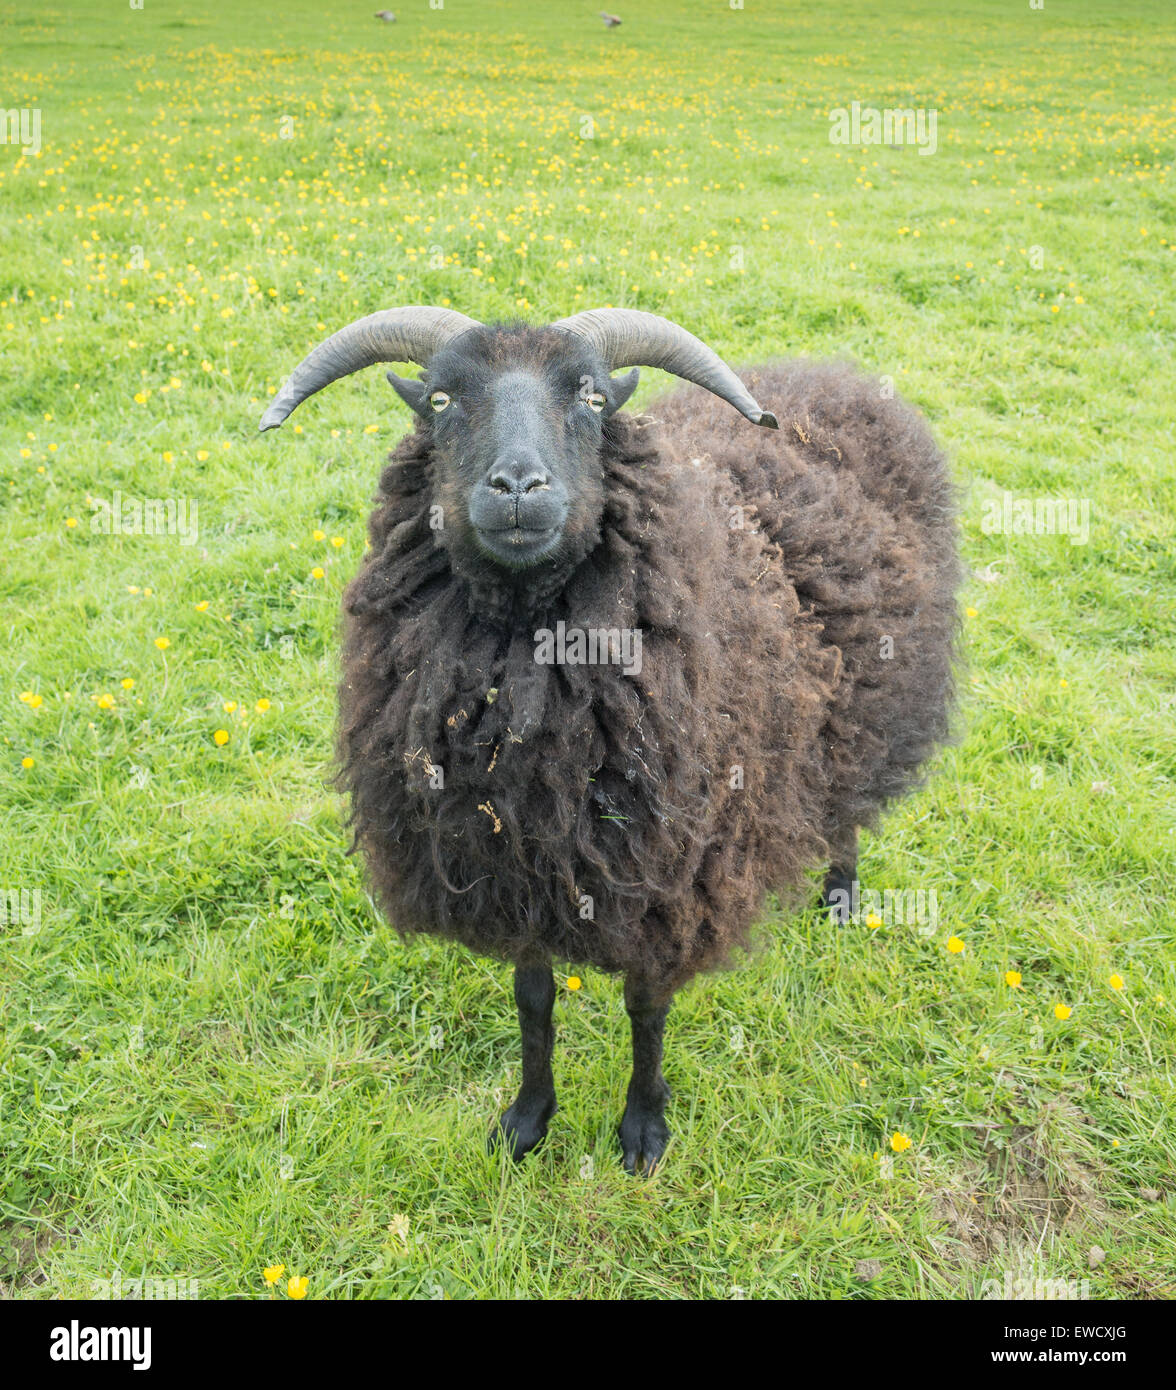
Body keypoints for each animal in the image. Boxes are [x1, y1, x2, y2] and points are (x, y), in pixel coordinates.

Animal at [259, 306, 961, 1173]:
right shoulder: (516, 867)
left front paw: (643, 1130)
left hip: (873, 701)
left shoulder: (671, 876)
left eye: (593, 398)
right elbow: (533, 1002)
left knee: (852, 802)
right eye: (441, 400)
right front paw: (527, 1119)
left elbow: (645, 1007)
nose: (518, 488)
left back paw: (840, 895)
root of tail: (840, 376)